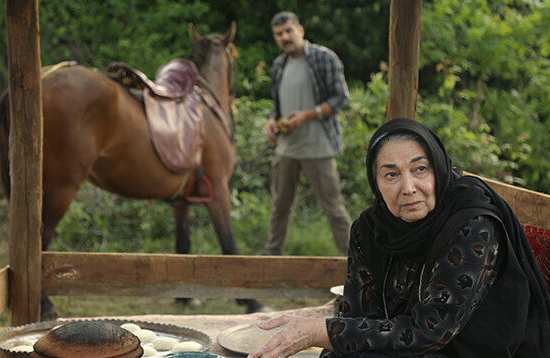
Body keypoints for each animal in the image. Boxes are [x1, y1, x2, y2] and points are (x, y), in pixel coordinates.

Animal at [0, 22, 266, 314]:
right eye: (235, 57)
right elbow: (230, 244)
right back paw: (45, 304)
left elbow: (183, 244)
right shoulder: (218, 191)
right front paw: (251, 301)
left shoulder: (182, 201)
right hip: (61, 189)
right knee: (39, 244)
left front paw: (185, 297)